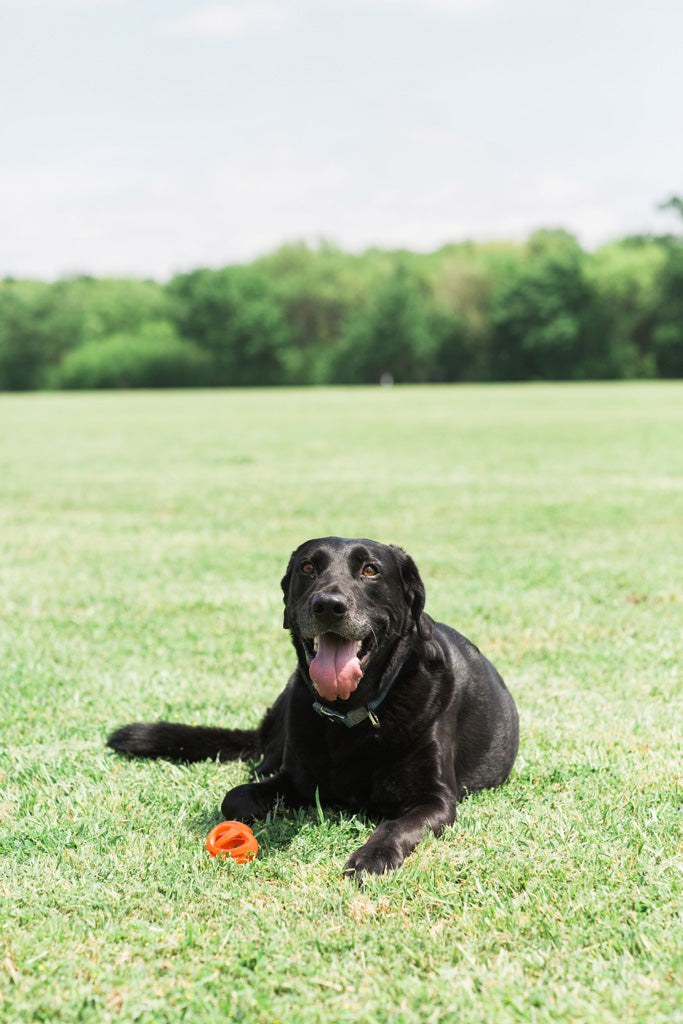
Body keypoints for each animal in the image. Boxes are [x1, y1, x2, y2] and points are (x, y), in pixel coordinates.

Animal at [107, 536, 518, 880]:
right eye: (307, 567)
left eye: (370, 570)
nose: (329, 606)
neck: (352, 717)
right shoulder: (296, 776)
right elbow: (235, 797)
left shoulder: (436, 799)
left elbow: (396, 825)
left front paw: (373, 855)